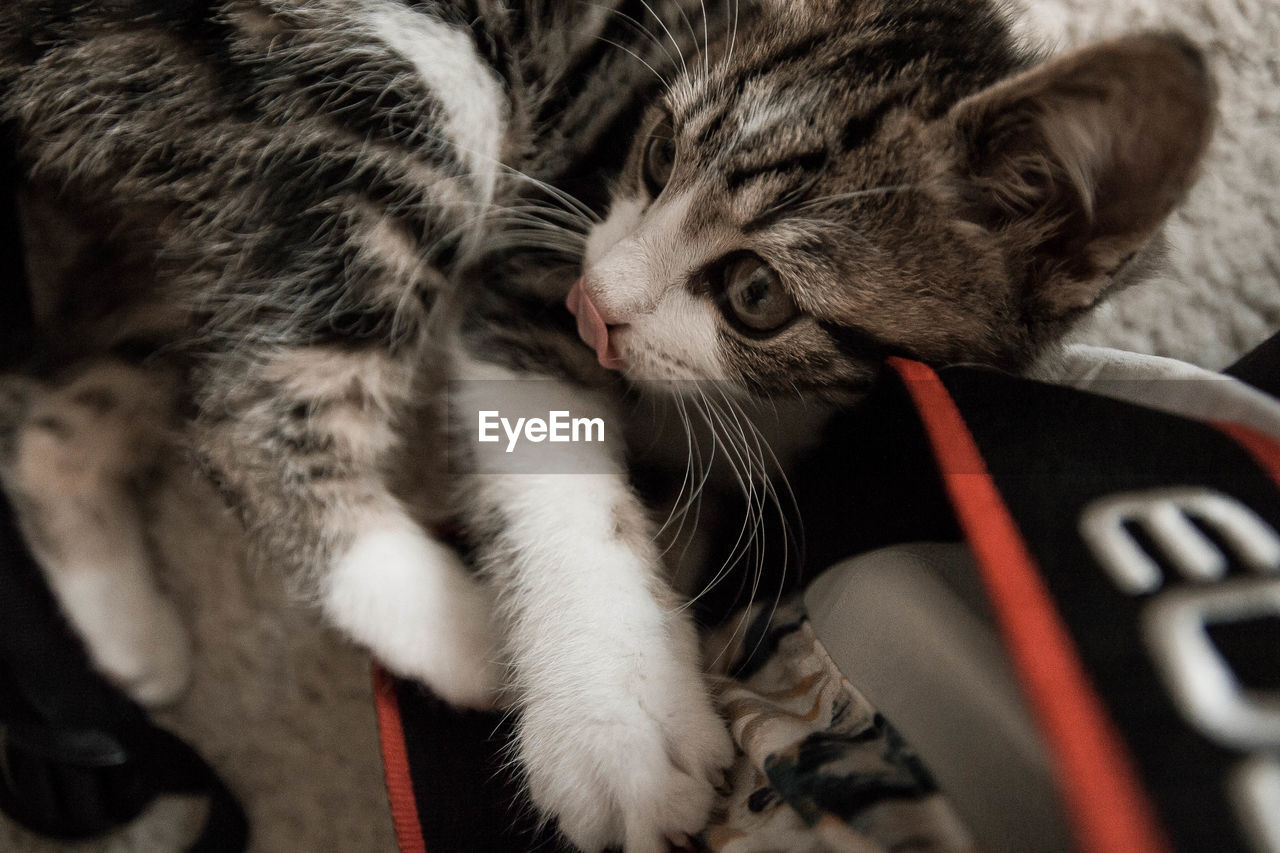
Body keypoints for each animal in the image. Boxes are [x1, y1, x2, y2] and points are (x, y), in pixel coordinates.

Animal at [0, 1, 1213, 845]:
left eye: (756, 294)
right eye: (659, 150)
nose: (597, 306)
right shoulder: (537, 246)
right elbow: (559, 469)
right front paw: (615, 716)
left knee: (67, 391)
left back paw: (121, 619)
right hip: (404, 77)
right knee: (244, 408)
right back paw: (454, 628)